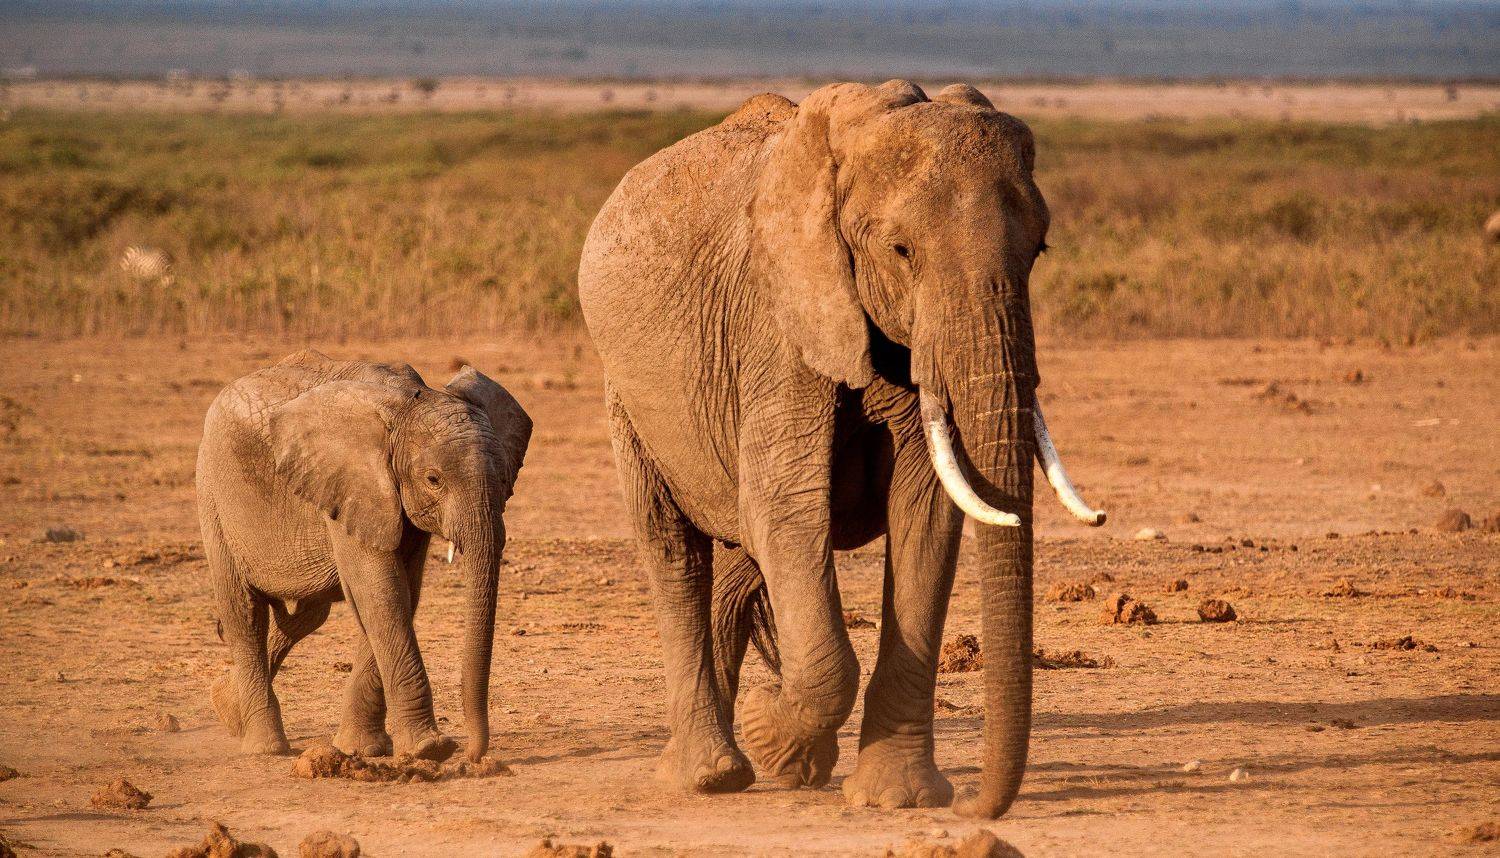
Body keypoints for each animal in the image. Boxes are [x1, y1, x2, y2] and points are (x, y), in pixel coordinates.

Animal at [195, 350, 531, 762]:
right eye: (433, 480)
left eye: (505, 479)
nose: (474, 755)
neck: (411, 403)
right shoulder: (355, 484)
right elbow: (382, 592)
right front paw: (430, 750)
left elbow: (399, 594)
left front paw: (364, 749)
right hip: (213, 492)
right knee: (244, 612)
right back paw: (266, 748)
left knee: (308, 614)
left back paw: (227, 709)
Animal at [577, 80, 1104, 818]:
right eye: (902, 250)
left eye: (1040, 250)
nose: (974, 808)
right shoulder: (776, 326)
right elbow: (787, 509)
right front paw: (773, 736)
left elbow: (926, 517)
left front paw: (895, 798)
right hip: (625, 391)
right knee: (673, 550)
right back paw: (709, 775)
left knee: (739, 563)